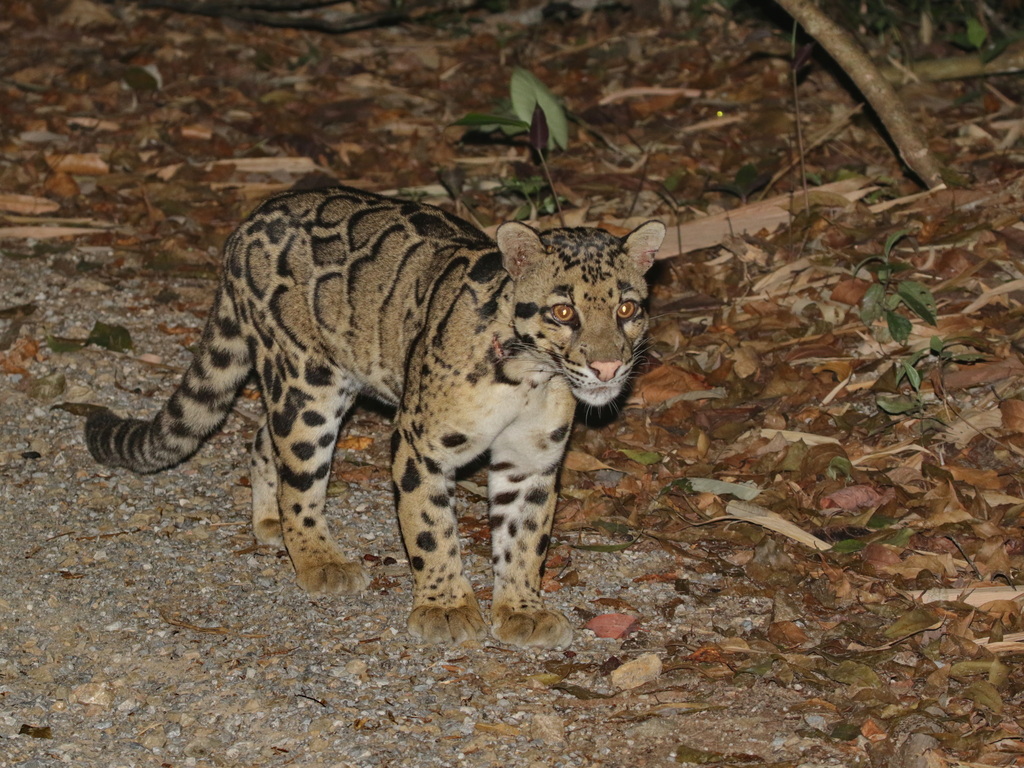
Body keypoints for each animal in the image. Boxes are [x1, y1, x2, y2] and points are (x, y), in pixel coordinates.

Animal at [85, 184, 665, 649]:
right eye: (563, 312)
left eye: (628, 309)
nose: (608, 364)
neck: (530, 376)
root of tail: (252, 219)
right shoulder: (419, 442)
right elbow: (431, 528)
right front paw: (445, 606)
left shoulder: (531, 460)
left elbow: (525, 538)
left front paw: (522, 608)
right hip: (306, 381)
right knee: (300, 469)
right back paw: (317, 557)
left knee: (262, 438)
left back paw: (270, 521)